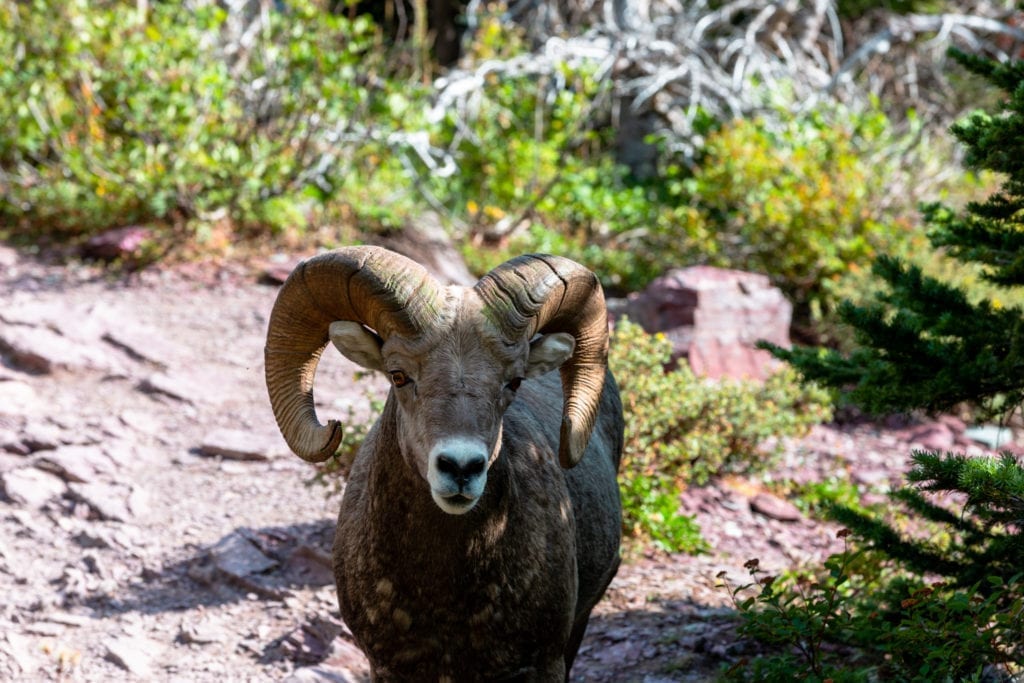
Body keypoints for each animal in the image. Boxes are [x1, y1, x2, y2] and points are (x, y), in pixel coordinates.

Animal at [264, 248, 622, 679]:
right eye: (398, 375)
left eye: (514, 382)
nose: (461, 468)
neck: (445, 599)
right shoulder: (386, 667)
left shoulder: (545, 662)